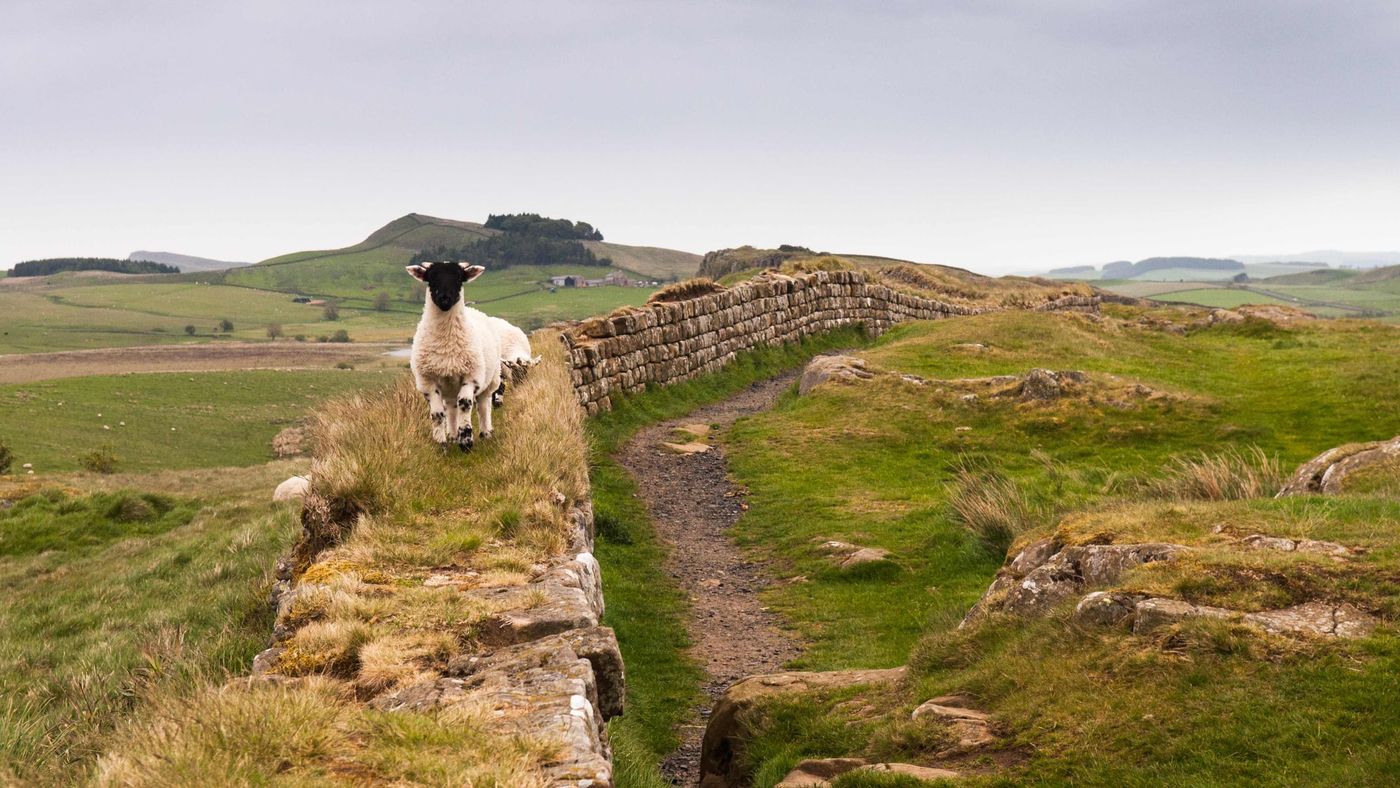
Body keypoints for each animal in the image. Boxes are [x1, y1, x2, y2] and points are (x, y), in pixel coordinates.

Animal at [405, 262, 503, 451]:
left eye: (459, 278)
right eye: (431, 277)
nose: (444, 299)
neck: (446, 343)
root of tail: (474, 309)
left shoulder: (472, 376)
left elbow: (465, 404)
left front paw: (466, 441)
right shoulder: (427, 381)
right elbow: (437, 414)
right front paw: (442, 444)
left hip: (490, 380)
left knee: (483, 405)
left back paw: (485, 433)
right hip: (449, 387)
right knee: (451, 408)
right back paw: (451, 435)